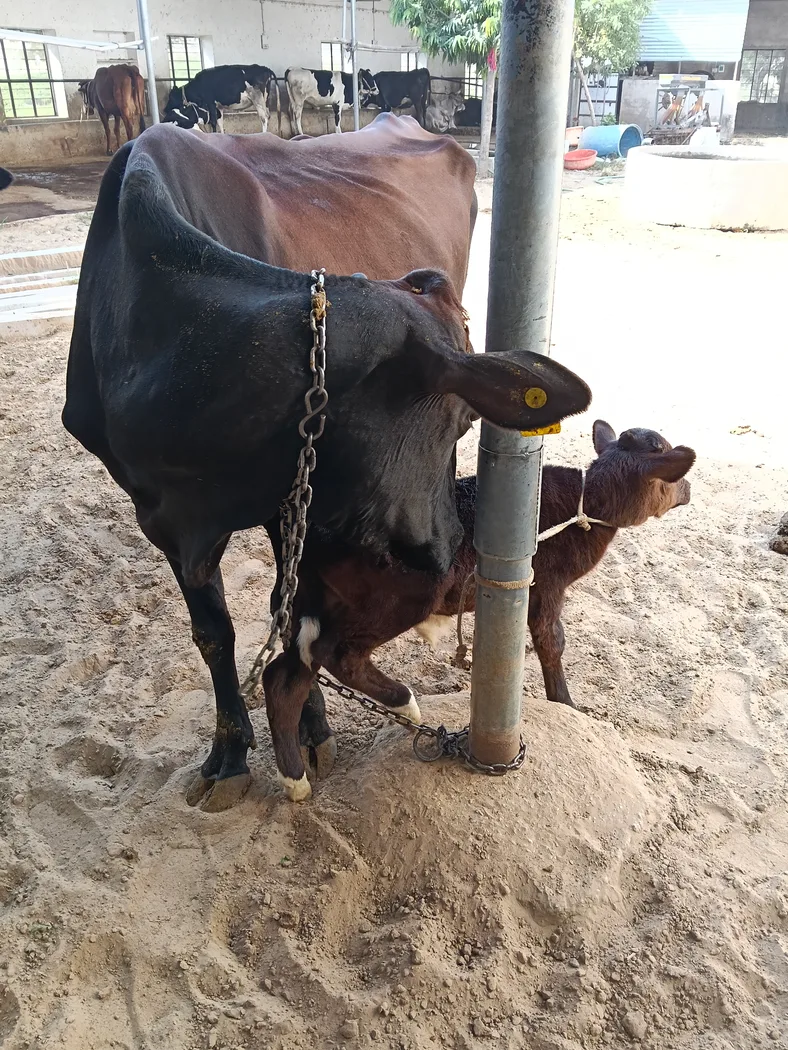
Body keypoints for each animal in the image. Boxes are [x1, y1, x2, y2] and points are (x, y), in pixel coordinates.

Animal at [62, 115, 591, 812]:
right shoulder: (158, 512)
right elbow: (215, 632)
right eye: (465, 419)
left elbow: (283, 615)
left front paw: (312, 731)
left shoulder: (290, 503)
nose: (447, 550)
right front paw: (230, 756)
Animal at [278, 422, 695, 769]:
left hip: (319, 601)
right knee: (335, 654)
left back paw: (296, 776)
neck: (583, 510)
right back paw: (407, 705)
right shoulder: (548, 583)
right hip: (400, 598)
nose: (690, 490)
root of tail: (314, 537)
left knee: (288, 668)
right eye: (673, 476)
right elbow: (552, 641)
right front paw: (567, 705)